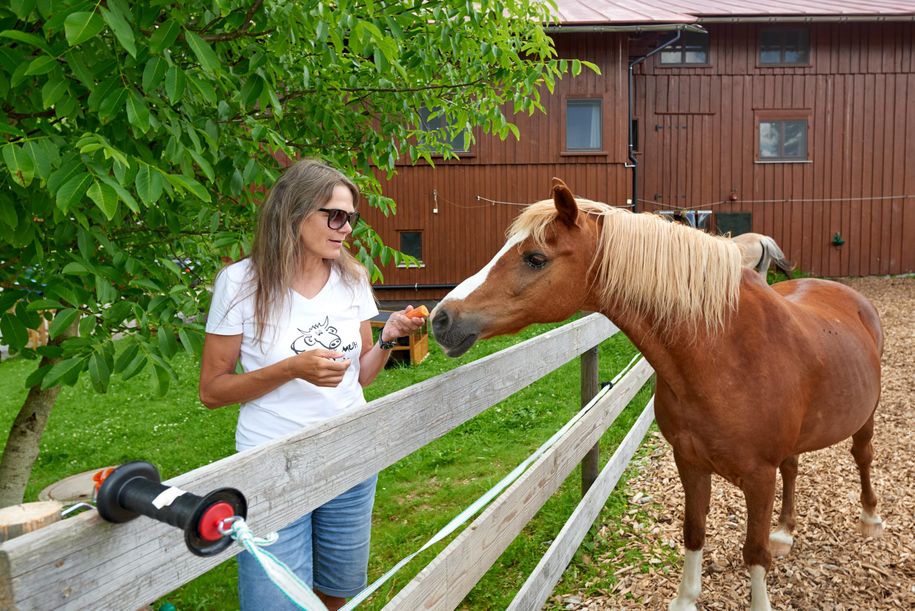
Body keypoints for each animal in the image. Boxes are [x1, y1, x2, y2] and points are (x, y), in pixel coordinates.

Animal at [432, 179, 884, 608]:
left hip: (866, 417)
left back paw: (870, 520)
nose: (440, 318)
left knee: (861, 456)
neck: (726, 354)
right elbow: (694, 531)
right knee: (793, 467)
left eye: (535, 258)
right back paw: (786, 532)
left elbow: (754, 552)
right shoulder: (690, 462)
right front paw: (685, 599)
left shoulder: (759, 477)